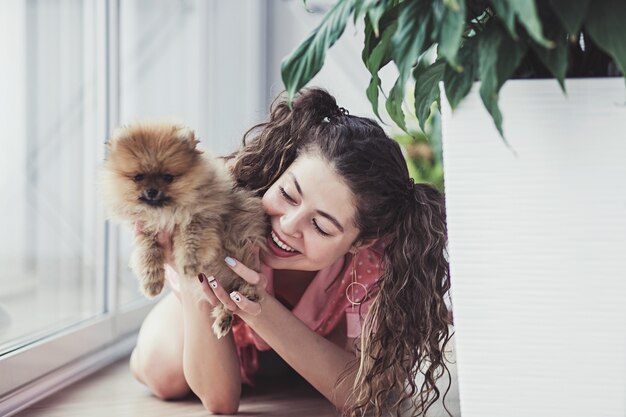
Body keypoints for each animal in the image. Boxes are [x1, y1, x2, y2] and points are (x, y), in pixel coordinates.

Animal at [102, 122, 266, 336]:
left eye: (167, 177)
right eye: (138, 177)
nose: (151, 191)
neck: (165, 211)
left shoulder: (199, 218)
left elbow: (191, 242)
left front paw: (189, 264)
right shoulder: (146, 229)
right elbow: (148, 253)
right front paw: (151, 281)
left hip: (243, 257)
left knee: (241, 290)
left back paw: (241, 300)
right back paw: (224, 319)